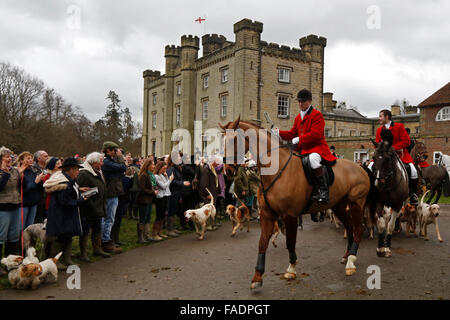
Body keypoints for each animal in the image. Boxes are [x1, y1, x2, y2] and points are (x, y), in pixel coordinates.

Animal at [220, 117, 370, 290]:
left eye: (234, 140)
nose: (227, 171)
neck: (276, 169)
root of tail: (360, 168)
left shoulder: (290, 214)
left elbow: (290, 241)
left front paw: (291, 269)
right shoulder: (267, 214)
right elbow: (262, 243)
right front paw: (257, 277)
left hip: (356, 204)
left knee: (358, 228)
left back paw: (351, 261)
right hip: (338, 206)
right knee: (350, 227)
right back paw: (347, 256)